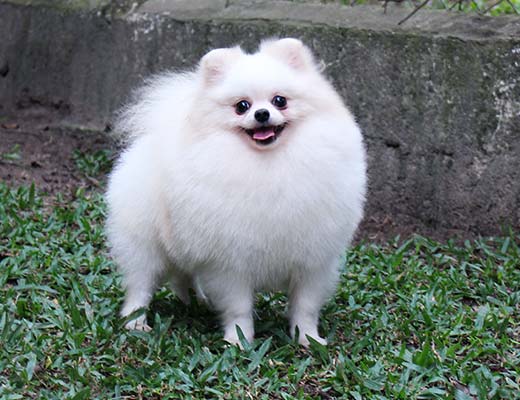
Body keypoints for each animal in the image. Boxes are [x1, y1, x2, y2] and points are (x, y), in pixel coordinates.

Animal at [105, 38, 366, 346]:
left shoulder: (314, 260)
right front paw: (239, 340)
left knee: (182, 275)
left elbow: (305, 306)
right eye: (242, 106)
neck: (270, 163)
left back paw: (195, 301)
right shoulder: (231, 262)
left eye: (280, 100)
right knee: (140, 284)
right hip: (144, 244)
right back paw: (136, 322)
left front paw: (307, 338)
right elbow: (238, 307)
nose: (261, 114)